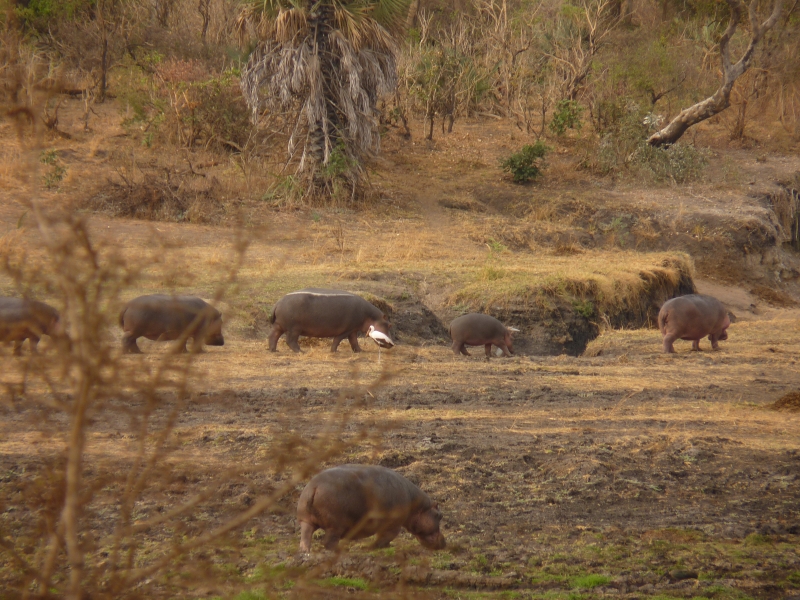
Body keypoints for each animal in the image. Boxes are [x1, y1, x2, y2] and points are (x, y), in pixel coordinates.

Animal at [296, 465, 446, 552]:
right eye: (439, 515)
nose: (444, 542)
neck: (417, 507)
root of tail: (314, 487)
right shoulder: (392, 525)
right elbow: (385, 537)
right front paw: (370, 547)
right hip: (335, 525)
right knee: (328, 542)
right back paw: (340, 550)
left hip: (306, 519)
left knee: (305, 536)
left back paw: (306, 552)